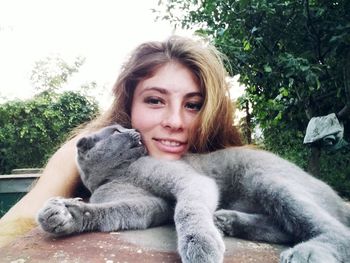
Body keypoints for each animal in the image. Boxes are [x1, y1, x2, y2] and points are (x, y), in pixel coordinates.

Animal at [37, 124, 350, 263]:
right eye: (116, 130)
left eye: (123, 127)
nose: (134, 129)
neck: (118, 173)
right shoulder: (149, 204)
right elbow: (114, 212)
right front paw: (67, 215)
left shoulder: (189, 180)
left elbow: (187, 209)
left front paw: (200, 243)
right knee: (285, 227)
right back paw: (227, 221)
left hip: (267, 179)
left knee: (332, 230)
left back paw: (307, 252)